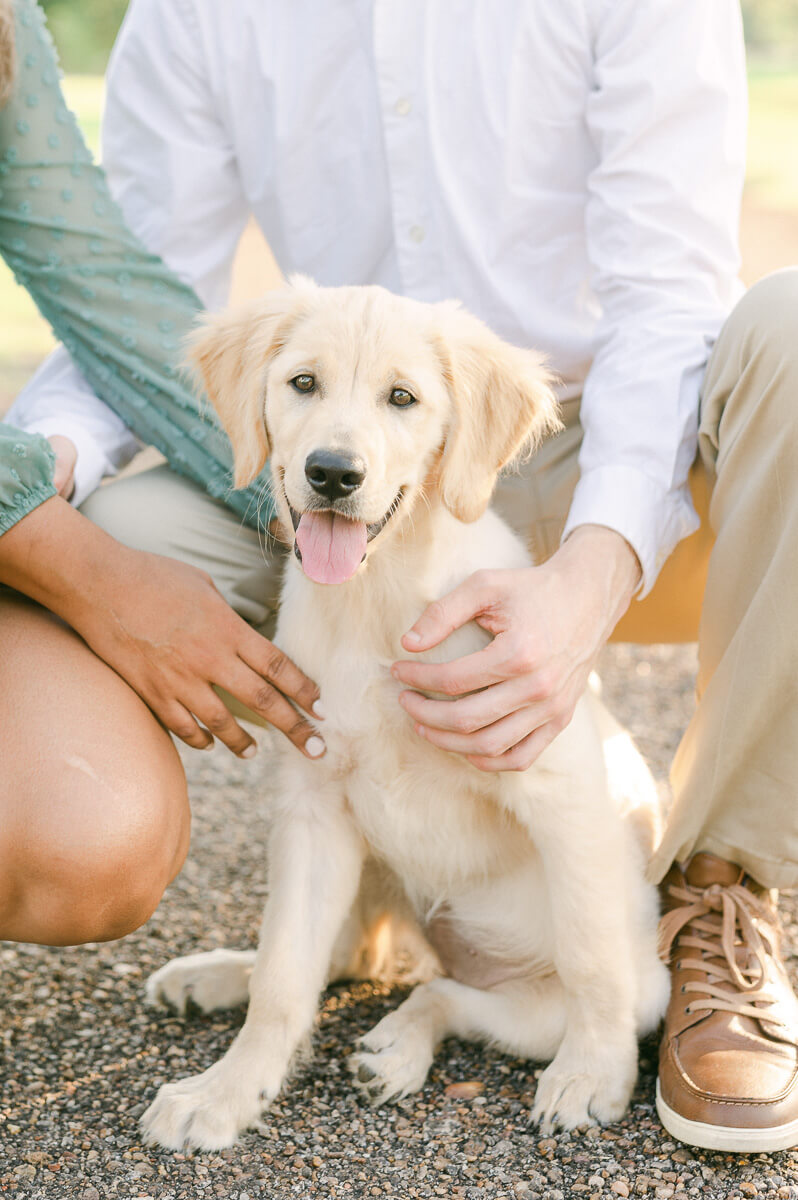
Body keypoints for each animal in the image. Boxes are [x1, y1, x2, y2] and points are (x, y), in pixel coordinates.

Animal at [141, 276, 667, 1147]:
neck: (374, 601)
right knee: (348, 960)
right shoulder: (315, 806)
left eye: (402, 398)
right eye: (304, 383)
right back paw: (219, 977)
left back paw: (397, 1050)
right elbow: (285, 975)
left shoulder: (561, 792)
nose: (332, 473)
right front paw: (227, 1091)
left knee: (447, 995)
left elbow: (595, 958)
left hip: (540, 1004)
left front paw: (596, 1074)